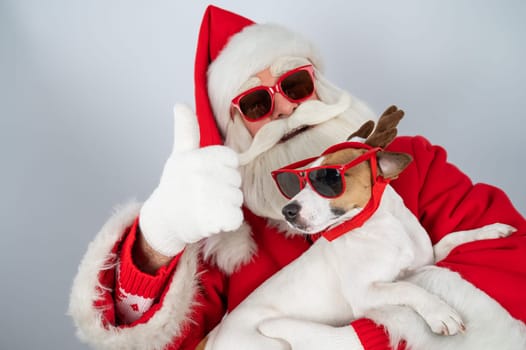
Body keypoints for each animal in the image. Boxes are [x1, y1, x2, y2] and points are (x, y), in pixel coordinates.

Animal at [204, 105, 516, 348]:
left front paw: (490, 231)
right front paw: (440, 312)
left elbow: (451, 239)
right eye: (299, 181)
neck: (383, 225)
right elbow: (408, 289)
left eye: (327, 178)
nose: (288, 211)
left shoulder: (424, 260)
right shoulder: (367, 293)